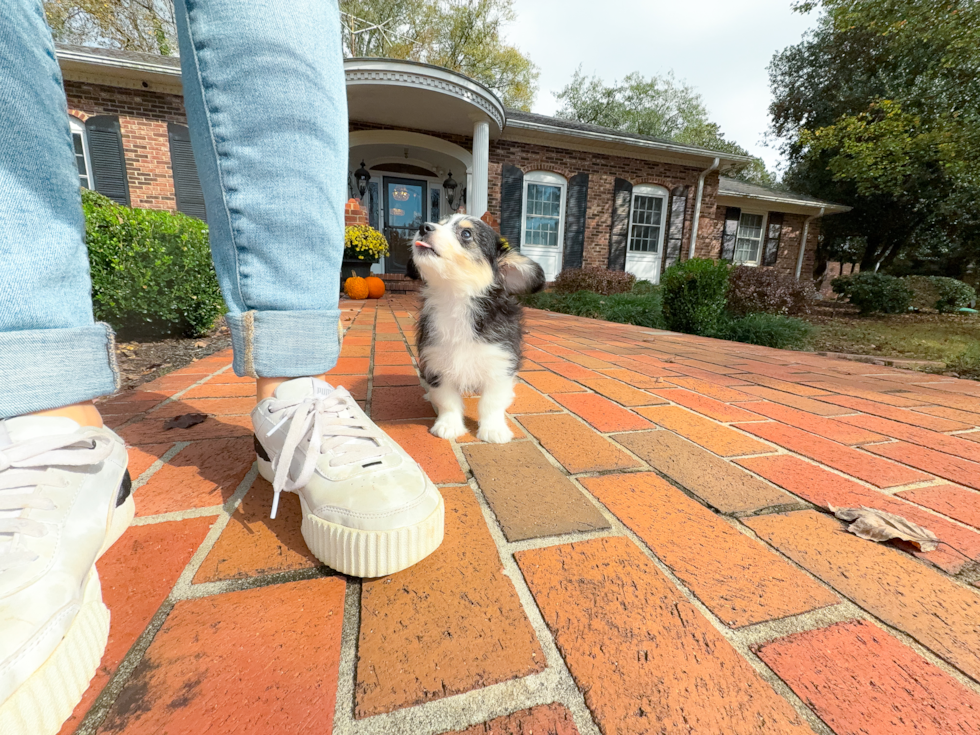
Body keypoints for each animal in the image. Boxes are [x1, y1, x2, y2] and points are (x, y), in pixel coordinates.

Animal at [406, 213, 544, 442]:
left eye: (466, 233)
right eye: (440, 223)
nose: (423, 227)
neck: (456, 299)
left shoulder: (500, 362)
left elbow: (491, 403)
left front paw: (494, 429)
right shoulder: (437, 363)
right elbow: (447, 400)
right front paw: (448, 425)